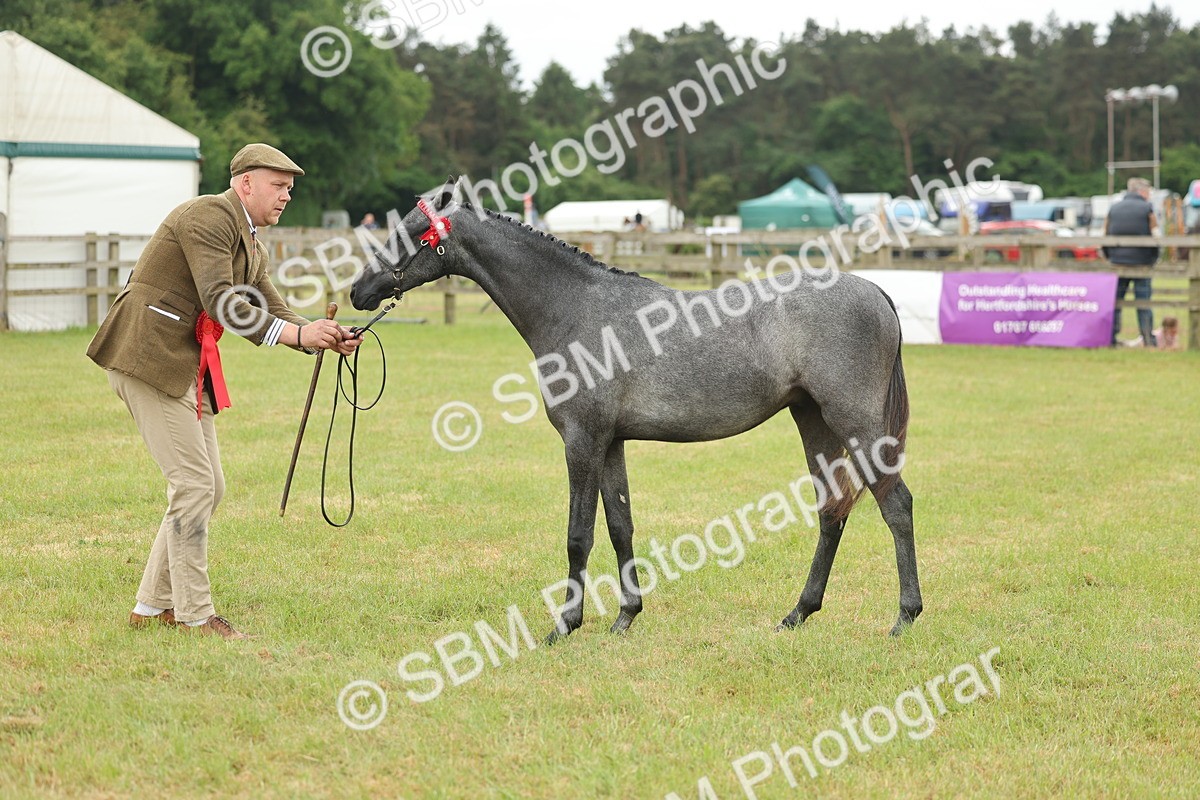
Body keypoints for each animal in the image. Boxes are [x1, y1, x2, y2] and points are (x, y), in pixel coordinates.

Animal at [350, 177, 921, 640]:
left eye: (409, 233)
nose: (359, 291)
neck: (575, 308)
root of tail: (874, 290)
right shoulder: (611, 443)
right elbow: (620, 525)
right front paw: (626, 616)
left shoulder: (582, 440)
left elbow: (578, 536)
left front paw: (565, 624)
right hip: (814, 423)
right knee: (831, 511)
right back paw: (797, 613)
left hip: (856, 425)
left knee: (896, 506)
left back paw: (904, 617)